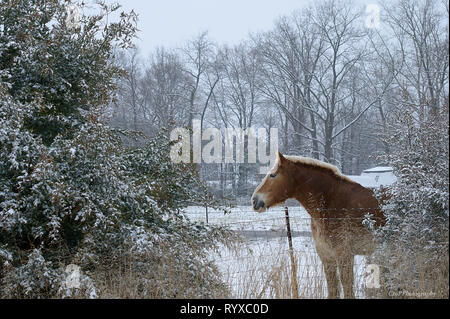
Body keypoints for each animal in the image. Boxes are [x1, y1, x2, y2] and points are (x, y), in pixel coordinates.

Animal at [251, 152, 384, 300]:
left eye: (273, 175)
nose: (254, 200)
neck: (330, 203)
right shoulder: (326, 257)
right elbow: (333, 291)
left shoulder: (344, 255)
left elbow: (348, 290)